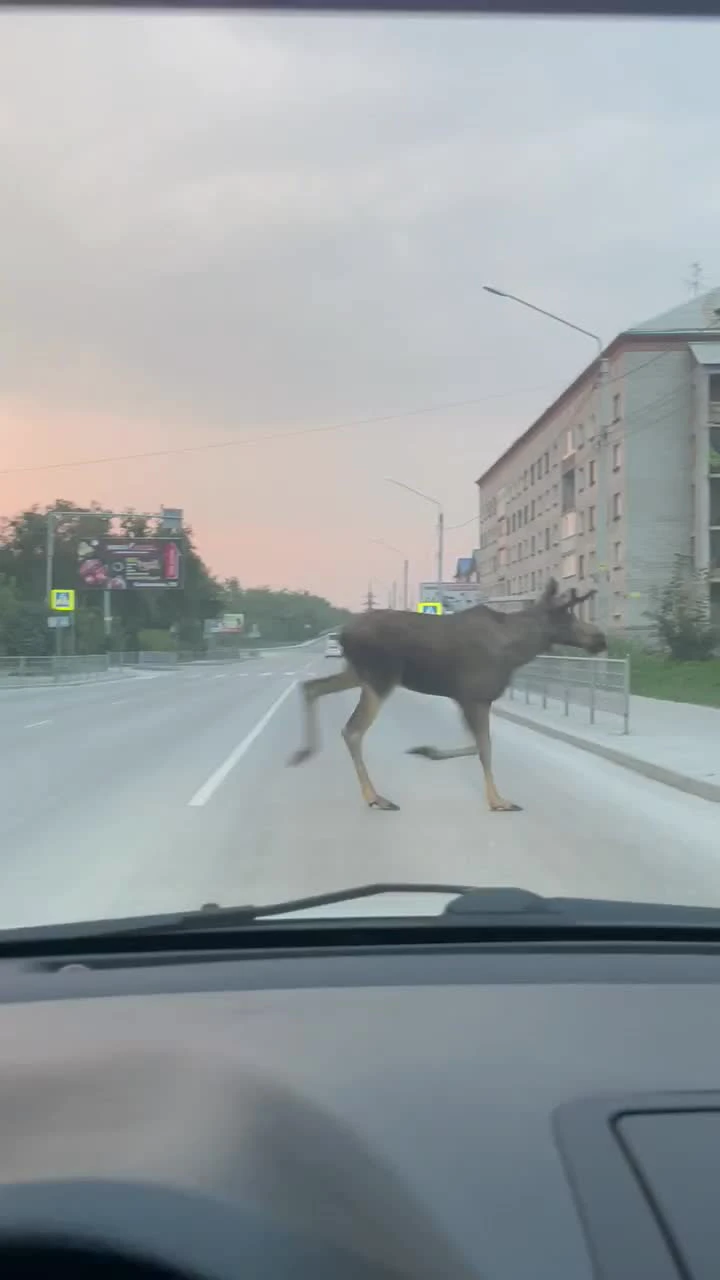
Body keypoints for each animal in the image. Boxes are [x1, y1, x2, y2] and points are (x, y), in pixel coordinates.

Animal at [288, 578, 602, 808]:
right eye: (565, 614)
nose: (599, 638)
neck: (516, 651)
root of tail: (343, 634)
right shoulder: (476, 697)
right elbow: (485, 748)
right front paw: (498, 800)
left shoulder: (463, 698)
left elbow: (476, 745)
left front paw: (427, 750)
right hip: (380, 677)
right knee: (352, 730)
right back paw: (374, 797)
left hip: (358, 673)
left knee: (311, 687)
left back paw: (303, 752)